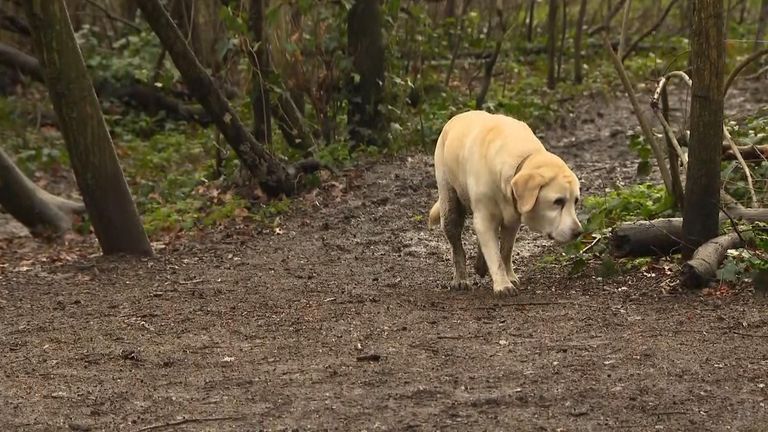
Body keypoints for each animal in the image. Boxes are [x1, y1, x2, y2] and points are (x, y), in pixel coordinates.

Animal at [426, 109, 584, 296]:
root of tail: (456, 117)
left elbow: (505, 251)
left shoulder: (513, 220)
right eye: (558, 201)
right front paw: (503, 284)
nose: (578, 232)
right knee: (457, 248)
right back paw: (460, 279)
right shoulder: (485, 219)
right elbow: (495, 256)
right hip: (450, 205)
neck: (518, 162)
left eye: (575, 201)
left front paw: (510, 276)